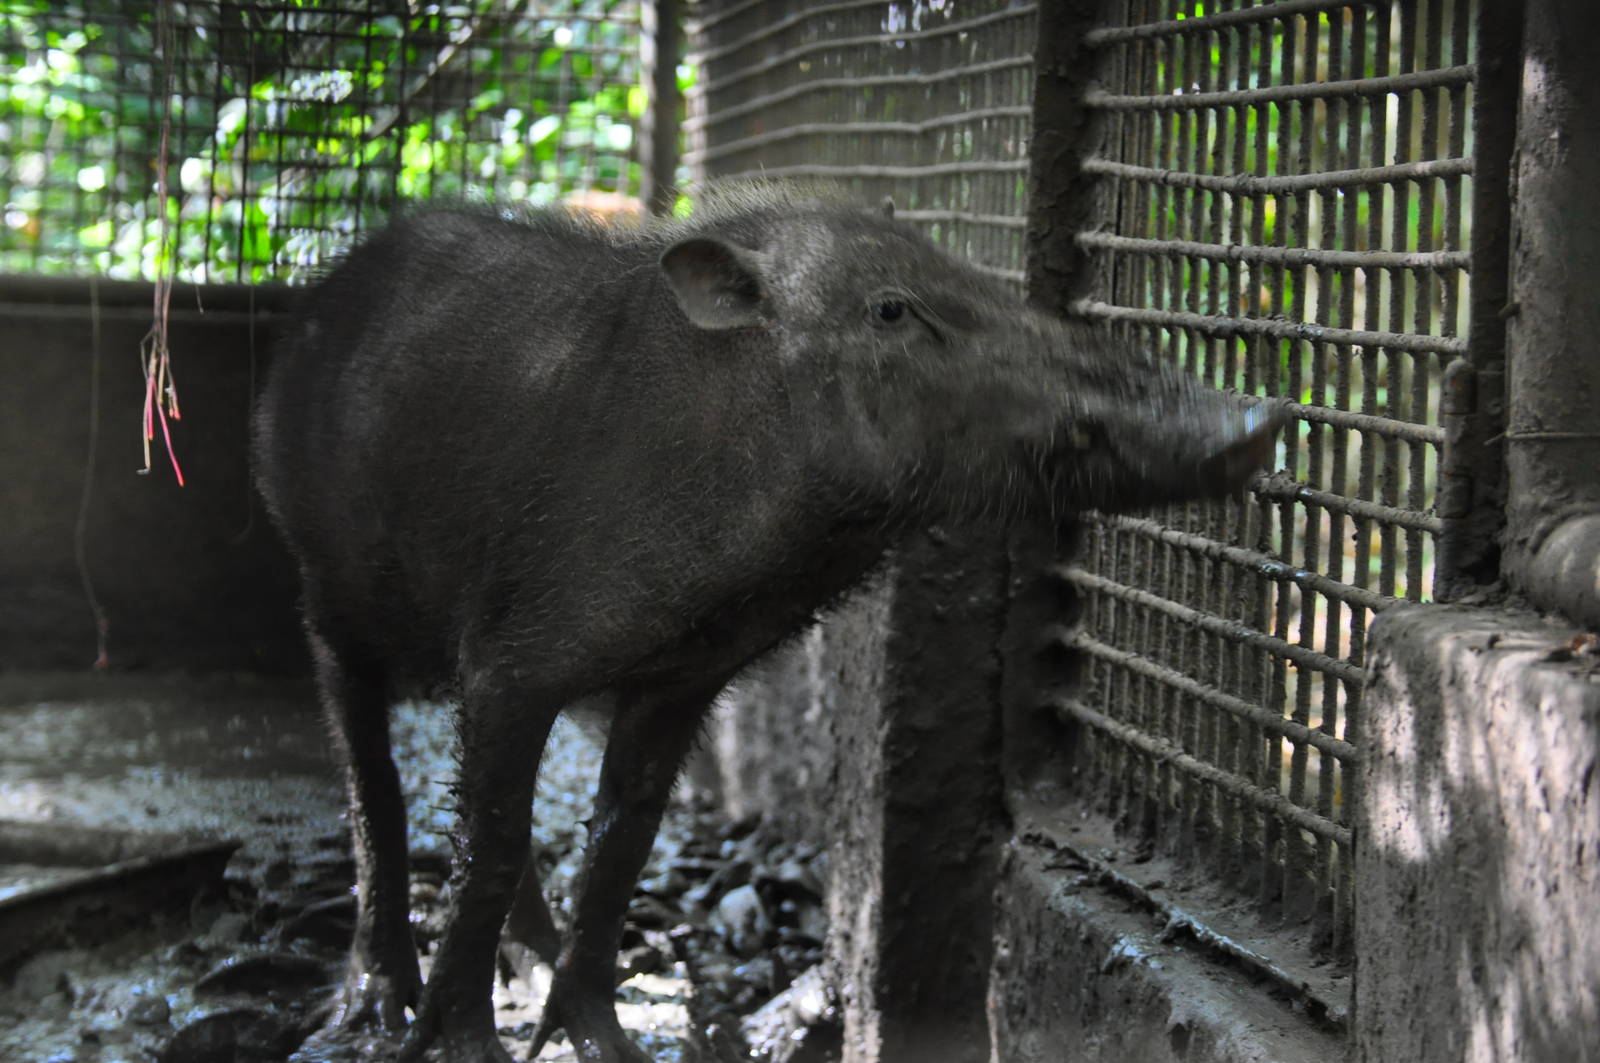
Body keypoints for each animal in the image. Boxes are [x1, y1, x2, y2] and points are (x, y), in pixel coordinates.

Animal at [252, 183, 1281, 1063]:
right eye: (891, 310)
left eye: (983, 284)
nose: (1259, 414)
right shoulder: (509, 660)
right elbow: (494, 843)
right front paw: (459, 1044)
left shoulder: (681, 677)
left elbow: (619, 843)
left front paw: (609, 1042)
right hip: (321, 582)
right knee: (372, 783)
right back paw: (376, 1002)